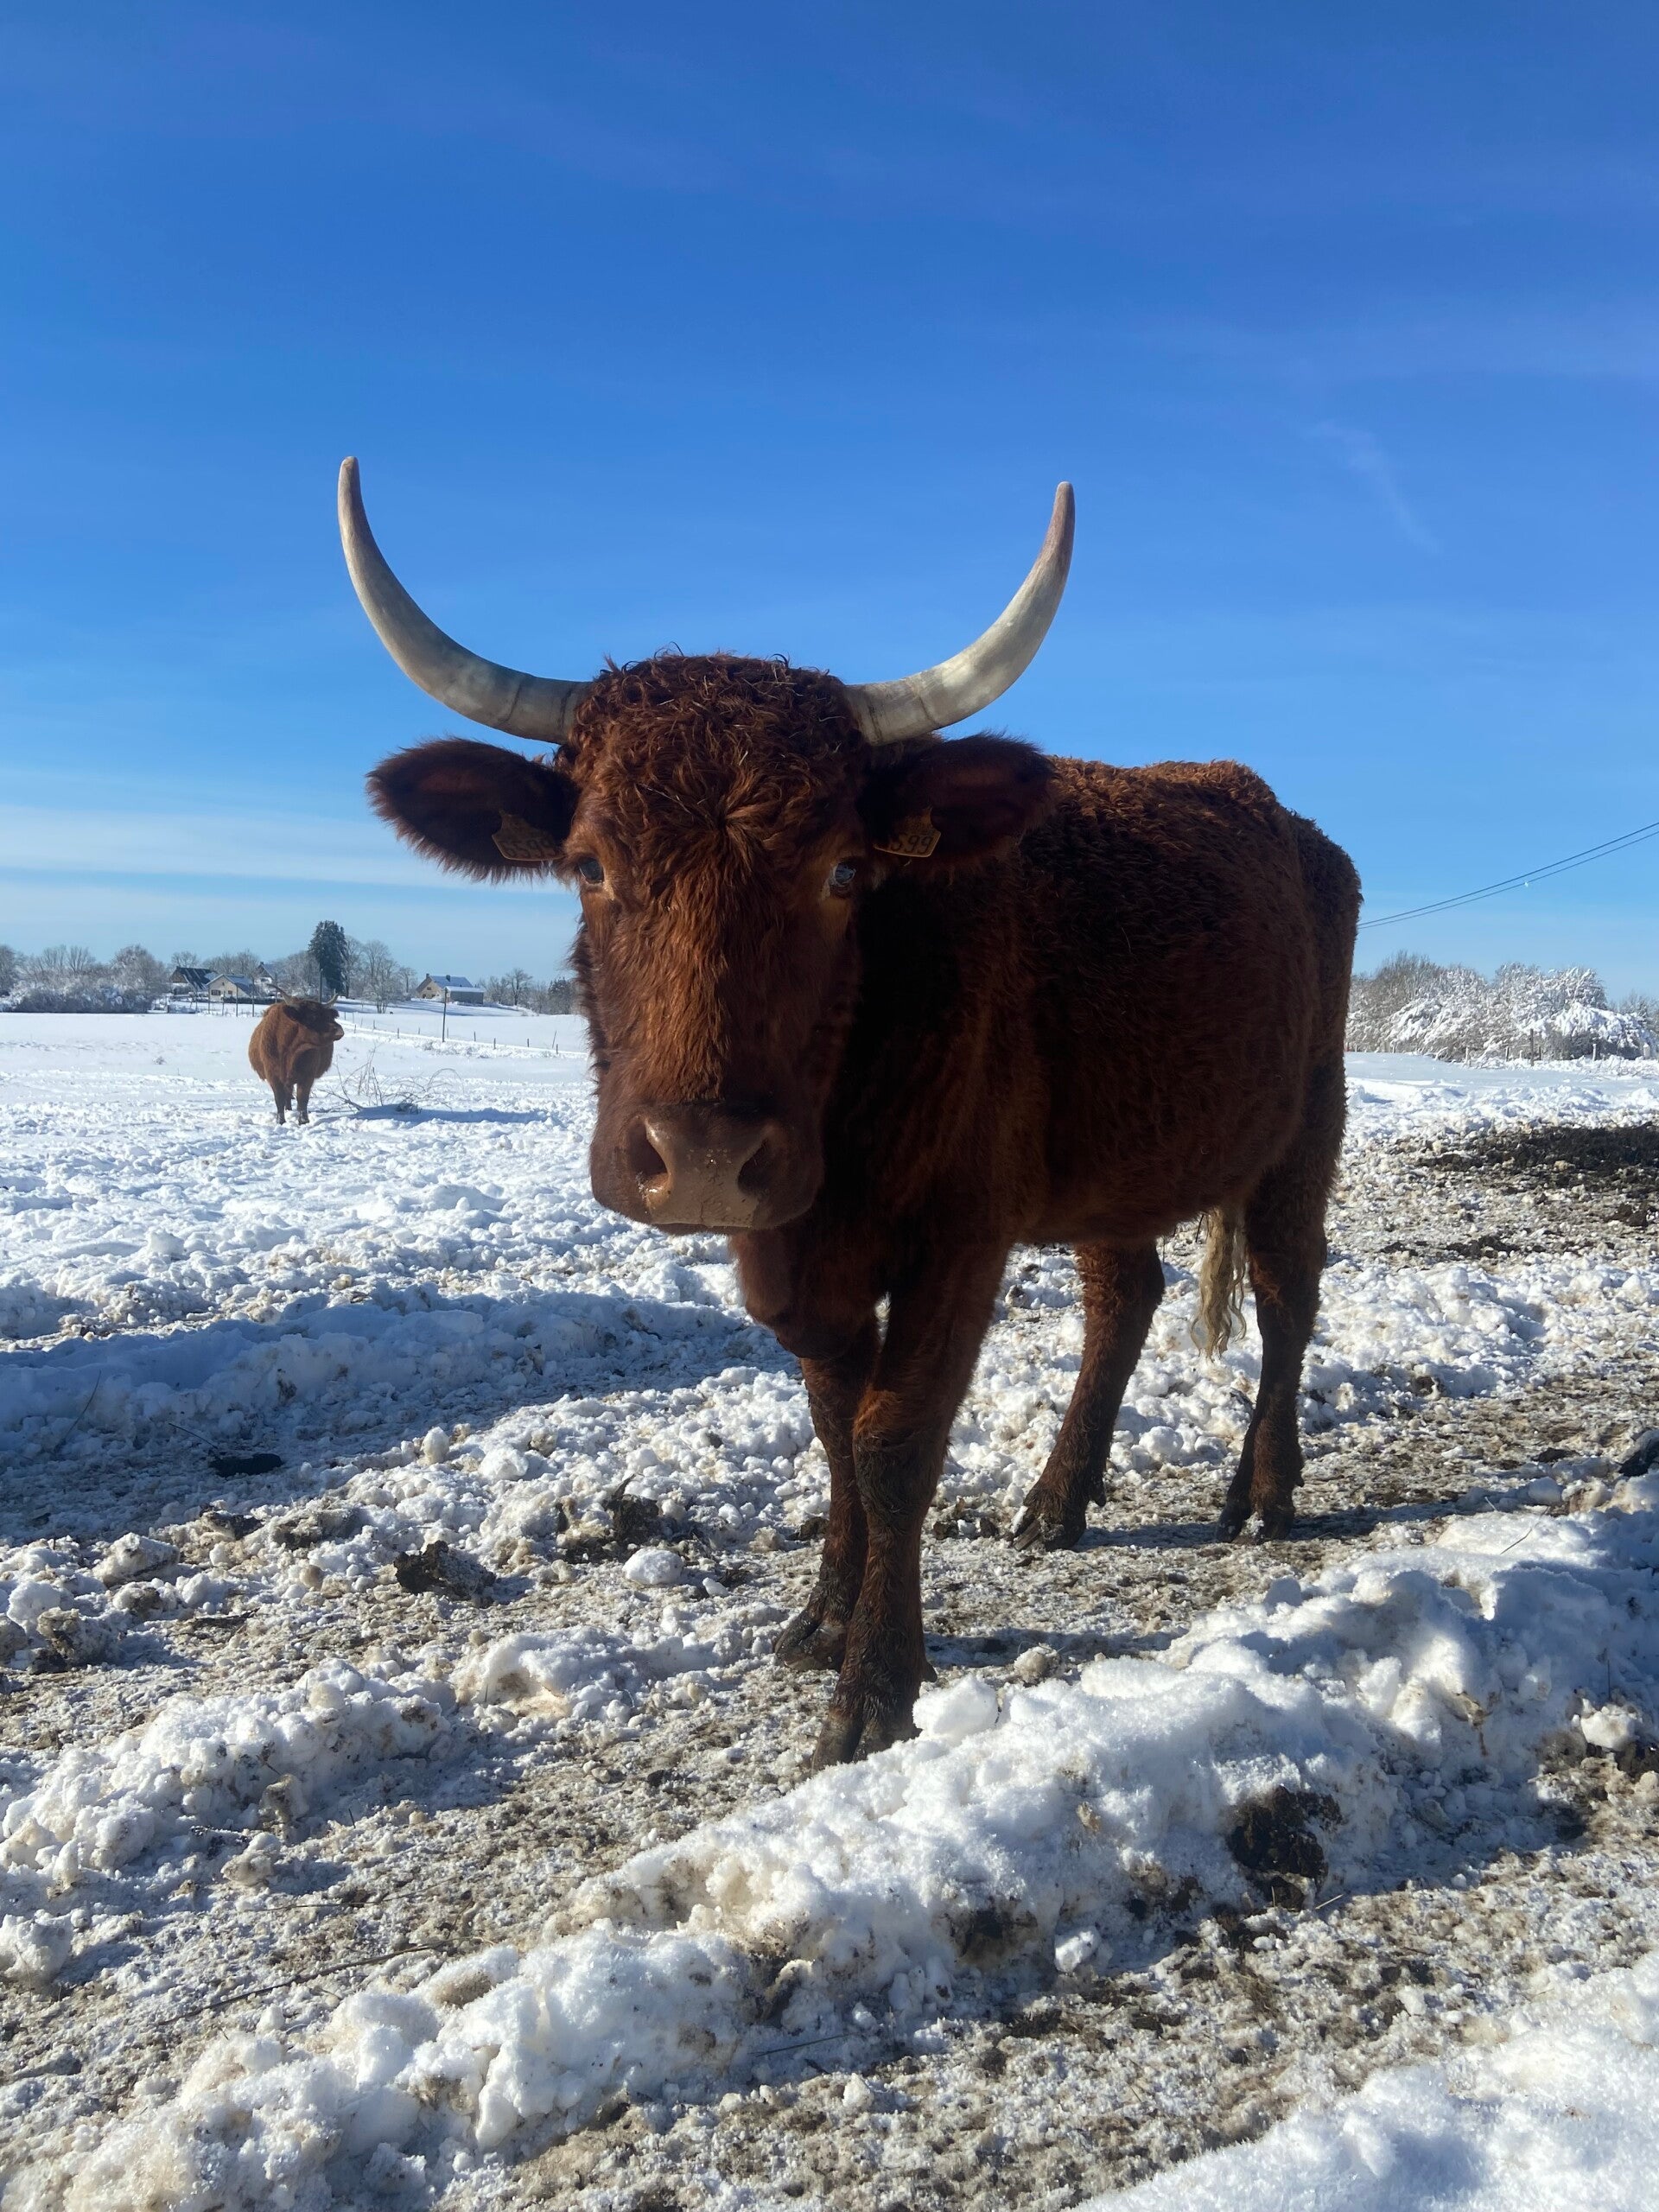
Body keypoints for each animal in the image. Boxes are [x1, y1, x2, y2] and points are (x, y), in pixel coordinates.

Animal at [249, 997, 344, 1125]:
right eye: (312, 1016)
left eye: (329, 1016)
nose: (339, 1030)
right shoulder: (273, 1076)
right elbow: (279, 1098)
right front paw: (281, 1121)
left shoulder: (308, 1076)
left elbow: (303, 1098)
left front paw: (303, 1120)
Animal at [338, 457, 1360, 1766]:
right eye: (590, 864)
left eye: (842, 870)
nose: (704, 1156)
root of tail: (1293, 828)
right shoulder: (792, 1256)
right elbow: (832, 1418)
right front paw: (825, 1615)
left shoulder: (959, 1240)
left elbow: (892, 1440)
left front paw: (878, 1685)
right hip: (1116, 1164)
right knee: (1123, 1300)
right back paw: (1056, 1500)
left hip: (1303, 1132)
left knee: (1287, 1297)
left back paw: (1262, 1493)